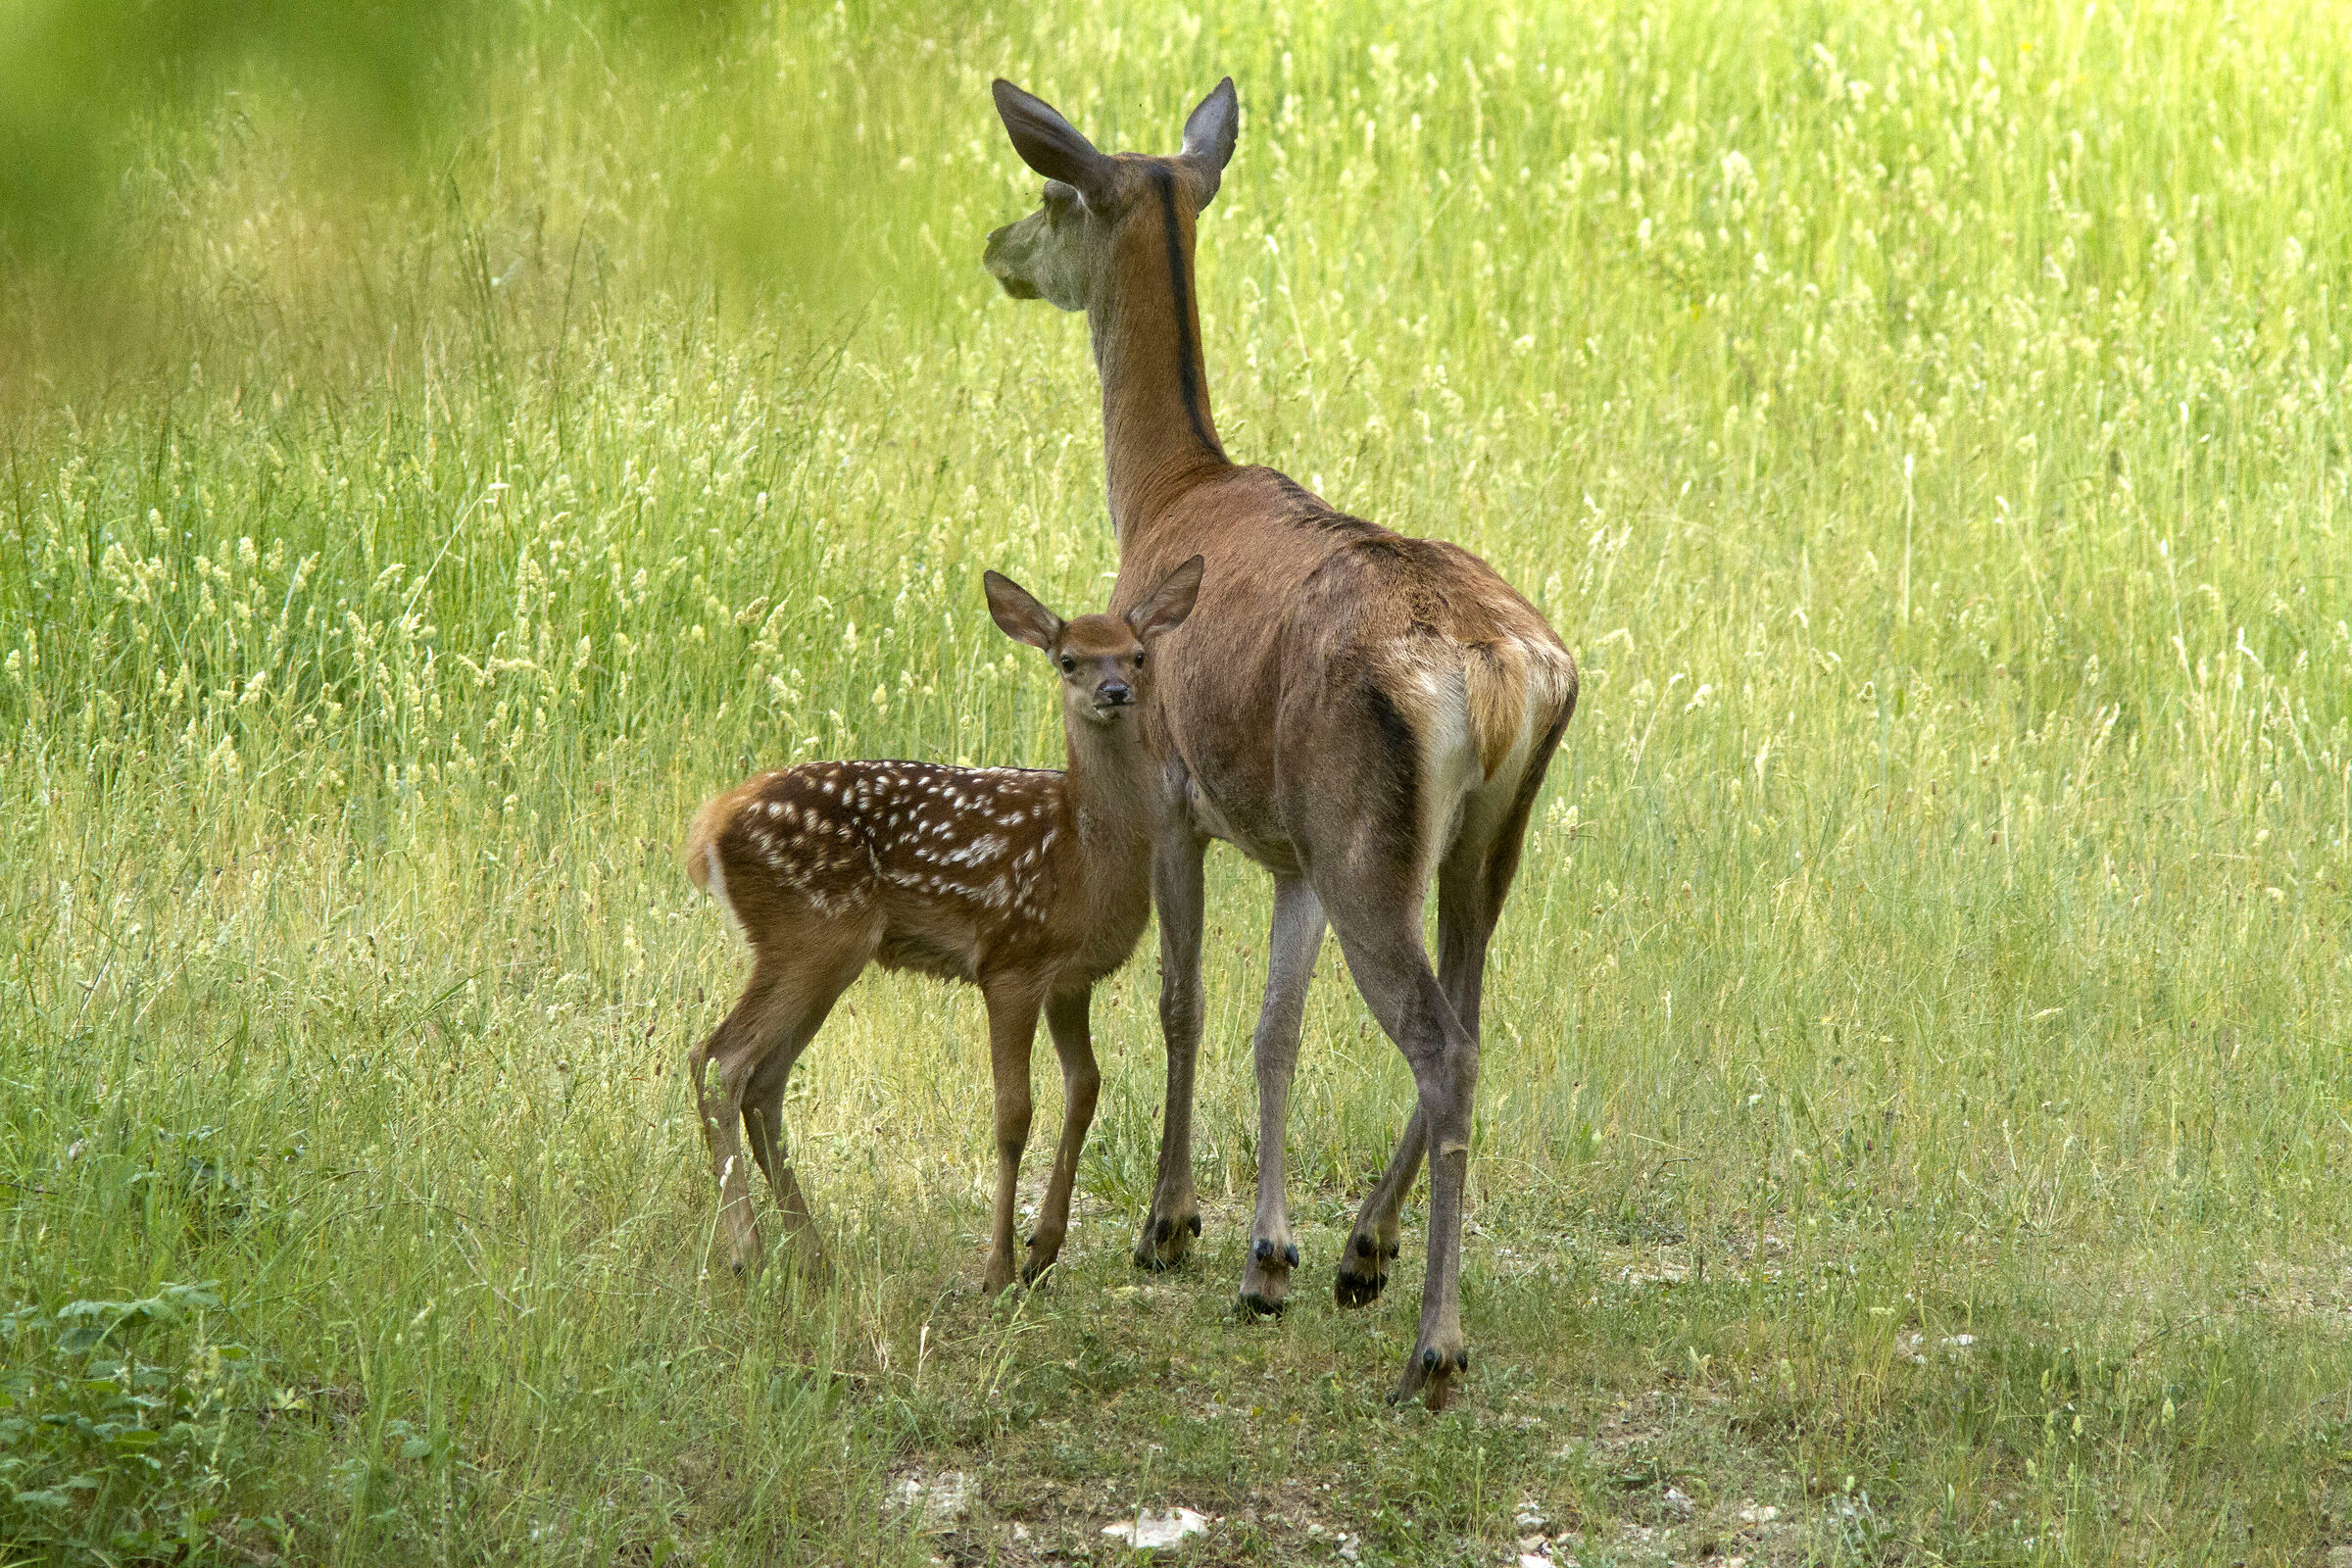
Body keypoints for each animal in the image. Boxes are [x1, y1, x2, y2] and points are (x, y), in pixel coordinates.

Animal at [683, 557, 1206, 1296]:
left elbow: (1085, 1089)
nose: (1114, 692)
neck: (1082, 855)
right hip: (807, 933)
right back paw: (747, 1252)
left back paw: (812, 1254)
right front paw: (998, 1268)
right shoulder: (1010, 961)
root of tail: (712, 823)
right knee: (719, 1060)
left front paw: (1042, 1252)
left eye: (1137, 655)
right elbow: (1013, 1112)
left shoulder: (1071, 976)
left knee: (764, 1081)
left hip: (824, 954)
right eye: (1068, 659)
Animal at [982, 78, 1578, 1409]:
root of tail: (1508, 671)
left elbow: (1185, 1001)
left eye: (1053, 193)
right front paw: (1270, 1252)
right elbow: (1276, 1033)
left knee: (1440, 1040)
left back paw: (1434, 1346)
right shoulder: (1290, 849)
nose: (995, 247)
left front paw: (1170, 1226)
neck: (1162, 495)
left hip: (1369, 835)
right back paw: (1365, 1251)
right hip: (1473, 840)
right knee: (1475, 1015)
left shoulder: (1169, 794)